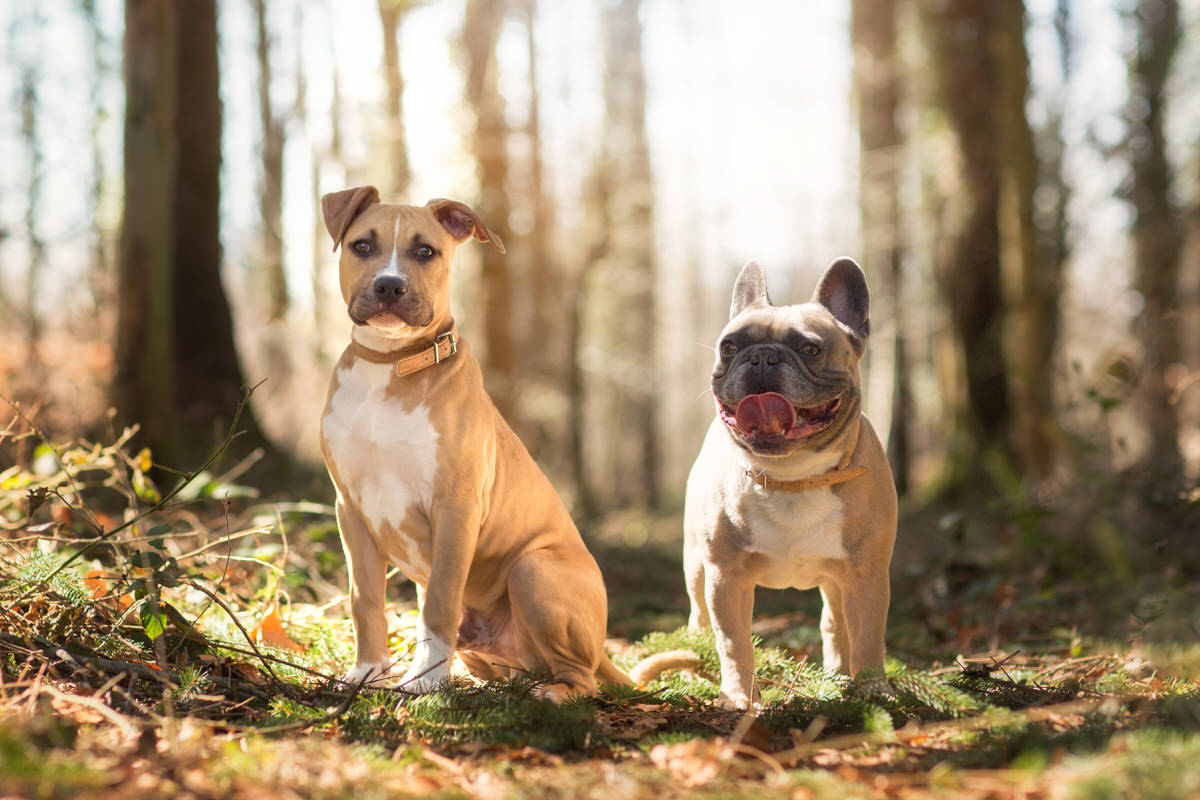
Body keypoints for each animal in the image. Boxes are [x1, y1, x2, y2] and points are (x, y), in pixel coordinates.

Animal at [321, 188, 638, 700]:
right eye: (362, 246)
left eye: (425, 251)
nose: (389, 286)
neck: (391, 366)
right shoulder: (350, 509)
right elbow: (364, 600)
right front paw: (368, 672)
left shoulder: (456, 507)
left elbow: (439, 602)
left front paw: (425, 682)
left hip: (533, 569)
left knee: (583, 677)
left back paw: (553, 693)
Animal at [681, 260, 897, 710]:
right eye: (729, 347)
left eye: (810, 348)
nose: (762, 357)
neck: (793, 477)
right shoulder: (726, 577)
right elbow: (734, 643)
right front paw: (738, 697)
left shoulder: (867, 575)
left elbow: (869, 638)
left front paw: (873, 690)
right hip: (695, 566)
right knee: (699, 621)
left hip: (837, 580)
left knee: (835, 622)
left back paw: (838, 675)